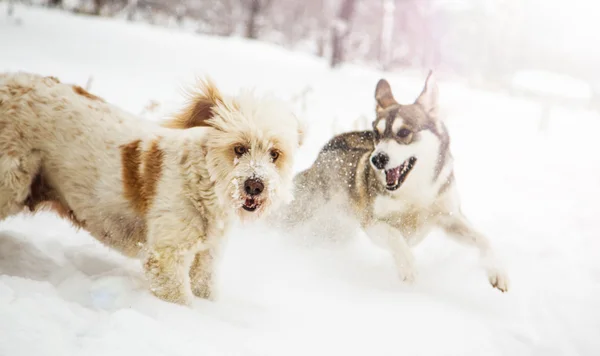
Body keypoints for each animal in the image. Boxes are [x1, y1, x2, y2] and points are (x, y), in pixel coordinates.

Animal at [0, 73, 302, 306]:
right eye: (239, 148)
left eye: (274, 154)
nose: (255, 185)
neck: (204, 183)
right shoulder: (167, 257)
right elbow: (179, 299)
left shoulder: (207, 256)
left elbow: (205, 287)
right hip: (10, 183)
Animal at [278, 71, 508, 292]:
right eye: (377, 133)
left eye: (404, 132)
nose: (377, 159)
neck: (415, 193)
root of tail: (327, 148)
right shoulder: (372, 222)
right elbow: (394, 235)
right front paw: (408, 267)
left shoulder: (450, 218)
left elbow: (484, 239)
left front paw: (497, 271)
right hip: (307, 212)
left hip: (336, 230)